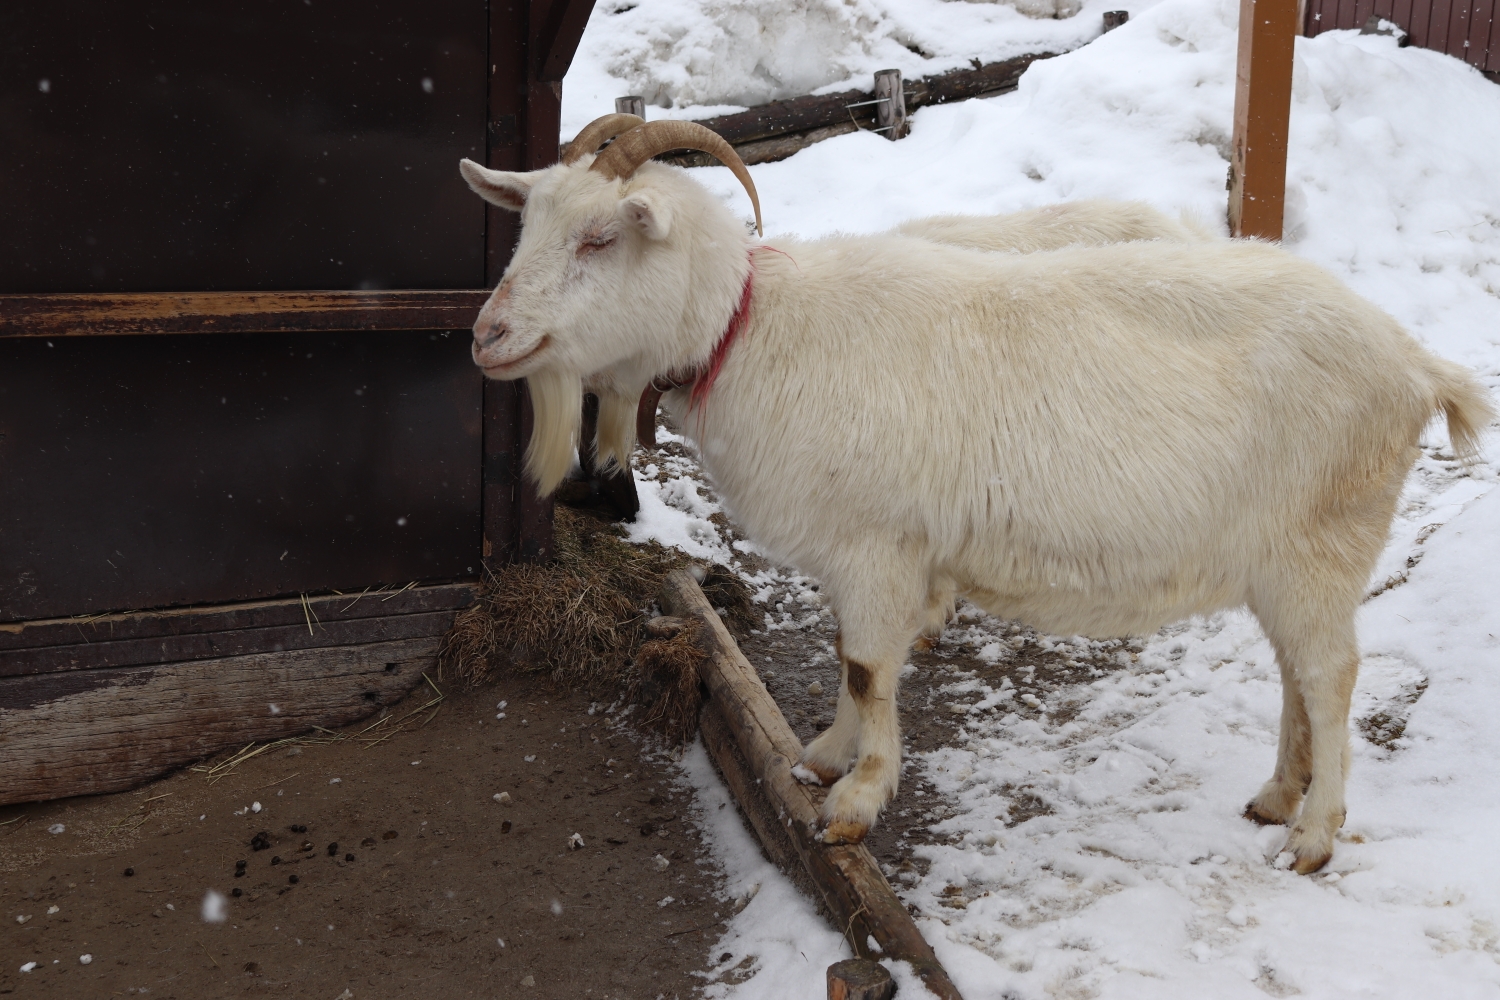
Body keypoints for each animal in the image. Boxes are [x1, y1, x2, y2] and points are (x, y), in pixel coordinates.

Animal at [462, 117, 1494, 875]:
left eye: (601, 237)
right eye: (527, 222)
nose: (487, 335)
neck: (749, 329)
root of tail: (1417, 365)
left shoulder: (880, 542)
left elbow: (867, 667)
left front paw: (855, 799)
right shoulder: (863, 555)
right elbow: (851, 659)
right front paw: (824, 755)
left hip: (1323, 541)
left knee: (1330, 677)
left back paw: (1314, 835)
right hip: (1286, 562)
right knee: (1296, 672)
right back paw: (1277, 795)